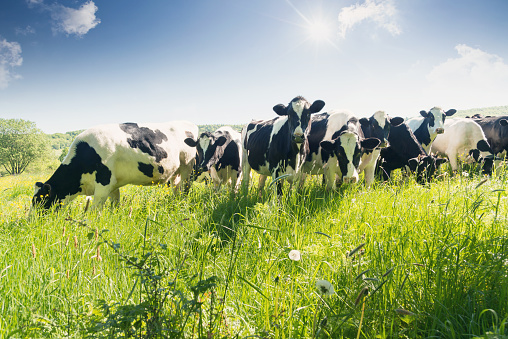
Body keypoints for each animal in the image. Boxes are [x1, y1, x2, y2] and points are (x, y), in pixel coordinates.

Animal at [32, 121, 198, 209]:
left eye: (39, 201)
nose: (30, 222)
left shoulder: (103, 183)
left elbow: (94, 211)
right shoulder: (113, 184)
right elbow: (114, 206)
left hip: (187, 167)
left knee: (185, 188)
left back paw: (182, 204)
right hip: (176, 171)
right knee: (176, 187)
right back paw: (175, 204)